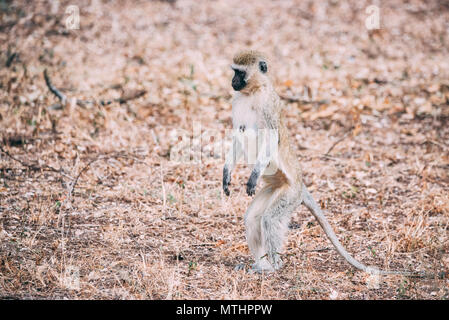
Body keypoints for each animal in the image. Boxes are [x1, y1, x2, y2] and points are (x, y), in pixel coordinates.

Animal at [221, 50, 438, 278]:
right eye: (234, 71)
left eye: (240, 73)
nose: (232, 82)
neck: (252, 92)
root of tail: (300, 185)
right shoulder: (237, 101)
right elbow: (237, 135)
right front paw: (226, 173)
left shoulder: (268, 105)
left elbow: (271, 138)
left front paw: (253, 176)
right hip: (274, 188)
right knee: (253, 218)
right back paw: (262, 265)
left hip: (290, 193)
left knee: (270, 219)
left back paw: (273, 267)